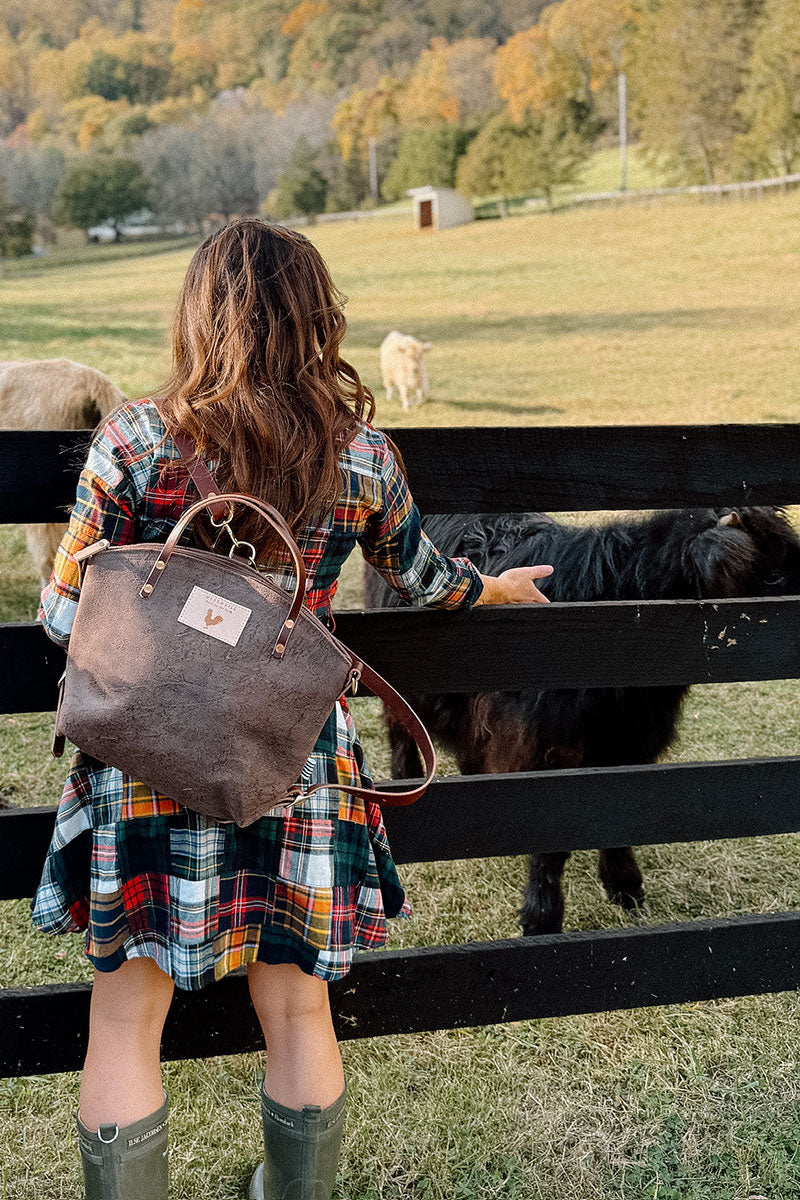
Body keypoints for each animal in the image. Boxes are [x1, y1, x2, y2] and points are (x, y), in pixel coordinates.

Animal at [364, 506, 800, 936]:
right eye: (773, 576)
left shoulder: (632, 747)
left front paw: (626, 889)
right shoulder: (546, 753)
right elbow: (552, 846)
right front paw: (542, 917)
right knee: (401, 730)